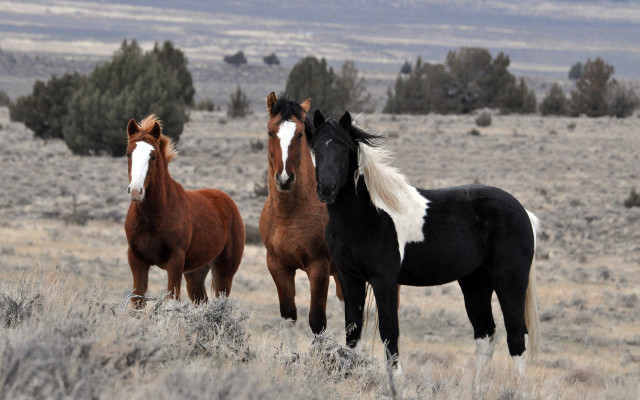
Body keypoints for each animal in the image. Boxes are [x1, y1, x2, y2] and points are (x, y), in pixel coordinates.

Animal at [124, 115, 245, 308]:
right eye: (129, 154)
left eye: (153, 156)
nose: (136, 191)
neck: (153, 218)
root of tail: (227, 201)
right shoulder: (137, 261)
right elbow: (137, 302)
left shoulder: (175, 262)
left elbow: (172, 300)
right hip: (195, 274)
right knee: (202, 300)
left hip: (224, 271)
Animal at [259, 93, 343, 336]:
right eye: (270, 132)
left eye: (298, 134)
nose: (285, 179)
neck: (288, 215)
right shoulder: (278, 266)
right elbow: (289, 316)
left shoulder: (318, 267)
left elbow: (317, 322)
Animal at [309, 110, 540, 377]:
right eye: (316, 148)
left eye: (344, 149)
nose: (327, 189)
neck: (368, 214)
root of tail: (523, 212)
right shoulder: (349, 277)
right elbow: (353, 330)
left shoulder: (384, 280)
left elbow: (389, 331)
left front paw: (396, 379)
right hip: (475, 283)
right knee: (486, 335)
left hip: (509, 282)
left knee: (517, 336)